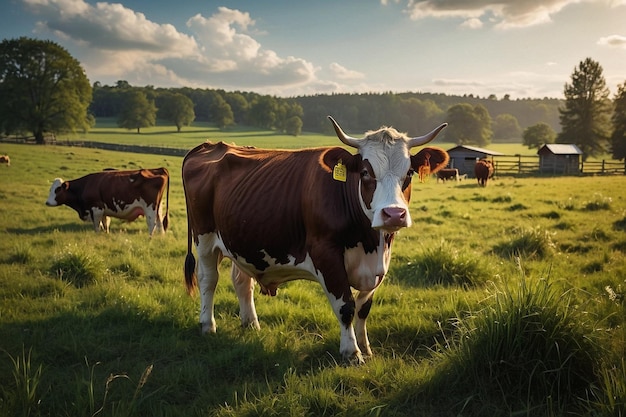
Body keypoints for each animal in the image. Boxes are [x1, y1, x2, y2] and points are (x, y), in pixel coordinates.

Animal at [180, 115, 448, 362]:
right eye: (364, 172)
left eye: (409, 172)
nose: (394, 214)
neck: (372, 244)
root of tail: (209, 145)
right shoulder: (325, 254)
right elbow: (346, 307)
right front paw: (352, 353)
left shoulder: (380, 265)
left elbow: (363, 308)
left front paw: (366, 348)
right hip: (204, 237)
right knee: (208, 279)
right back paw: (208, 325)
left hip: (243, 240)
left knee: (242, 281)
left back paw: (252, 324)